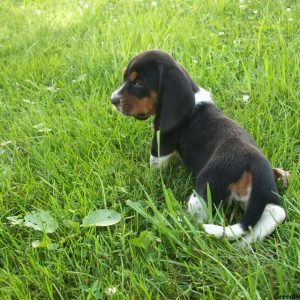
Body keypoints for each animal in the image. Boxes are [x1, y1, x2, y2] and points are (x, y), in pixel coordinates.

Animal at [110, 50, 286, 245]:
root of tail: (252, 164)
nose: (113, 100)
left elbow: (154, 166)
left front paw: (147, 177)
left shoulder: (161, 142)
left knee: (198, 219)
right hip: (265, 196)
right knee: (273, 215)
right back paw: (244, 245)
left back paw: (173, 223)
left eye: (139, 83)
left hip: (206, 185)